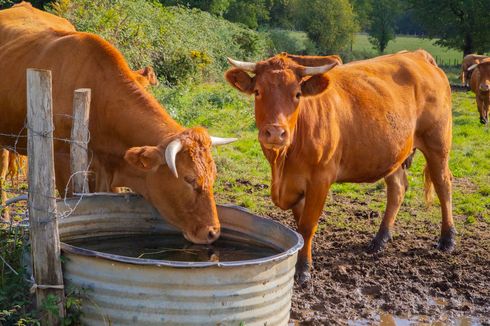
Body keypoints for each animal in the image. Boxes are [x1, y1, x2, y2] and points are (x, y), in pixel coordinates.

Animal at [228, 50, 454, 282]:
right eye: (257, 91)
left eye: (297, 94)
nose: (275, 132)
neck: (282, 163)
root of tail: (417, 54)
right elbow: (300, 227)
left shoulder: (320, 179)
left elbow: (307, 226)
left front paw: (303, 269)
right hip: (394, 153)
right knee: (397, 189)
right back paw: (380, 238)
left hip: (437, 142)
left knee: (443, 184)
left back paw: (447, 238)